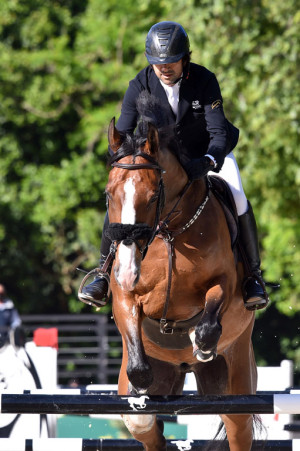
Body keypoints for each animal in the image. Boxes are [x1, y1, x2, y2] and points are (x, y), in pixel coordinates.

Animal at [104, 93, 256, 450]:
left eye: (152, 196)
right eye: (108, 195)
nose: (128, 268)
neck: (171, 232)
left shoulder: (225, 284)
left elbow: (209, 318)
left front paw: (201, 344)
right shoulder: (124, 296)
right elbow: (138, 372)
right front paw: (142, 390)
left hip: (236, 380)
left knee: (238, 426)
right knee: (143, 424)